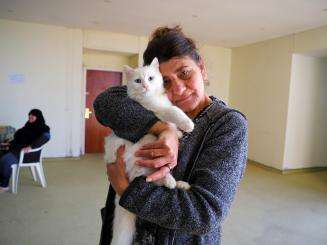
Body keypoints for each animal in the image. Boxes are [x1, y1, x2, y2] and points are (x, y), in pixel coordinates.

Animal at [104, 58, 193, 245]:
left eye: (150, 78)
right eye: (138, 81)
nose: (145, 85)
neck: (152, 99)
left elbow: (174, 119)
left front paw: (179, 133)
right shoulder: (159, 113)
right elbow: (175, 111)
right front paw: (187, 125)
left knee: (157, 179)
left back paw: (179, 184)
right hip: (141, 155)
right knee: (153, 178)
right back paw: (171, 181)